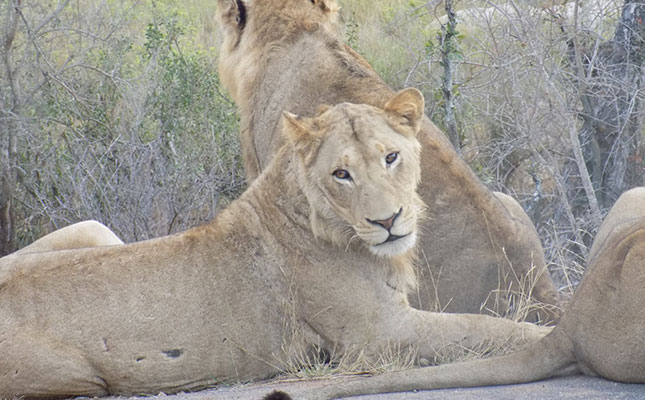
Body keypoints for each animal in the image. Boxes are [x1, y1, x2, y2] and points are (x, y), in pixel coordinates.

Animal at [0, 90, 549, 399]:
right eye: (342, 174)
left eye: (391, 157)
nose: (388, 220)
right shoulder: (377, 337)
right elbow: (486, 327)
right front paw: (549, 336)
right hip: (76, 376)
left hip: (94, 227)